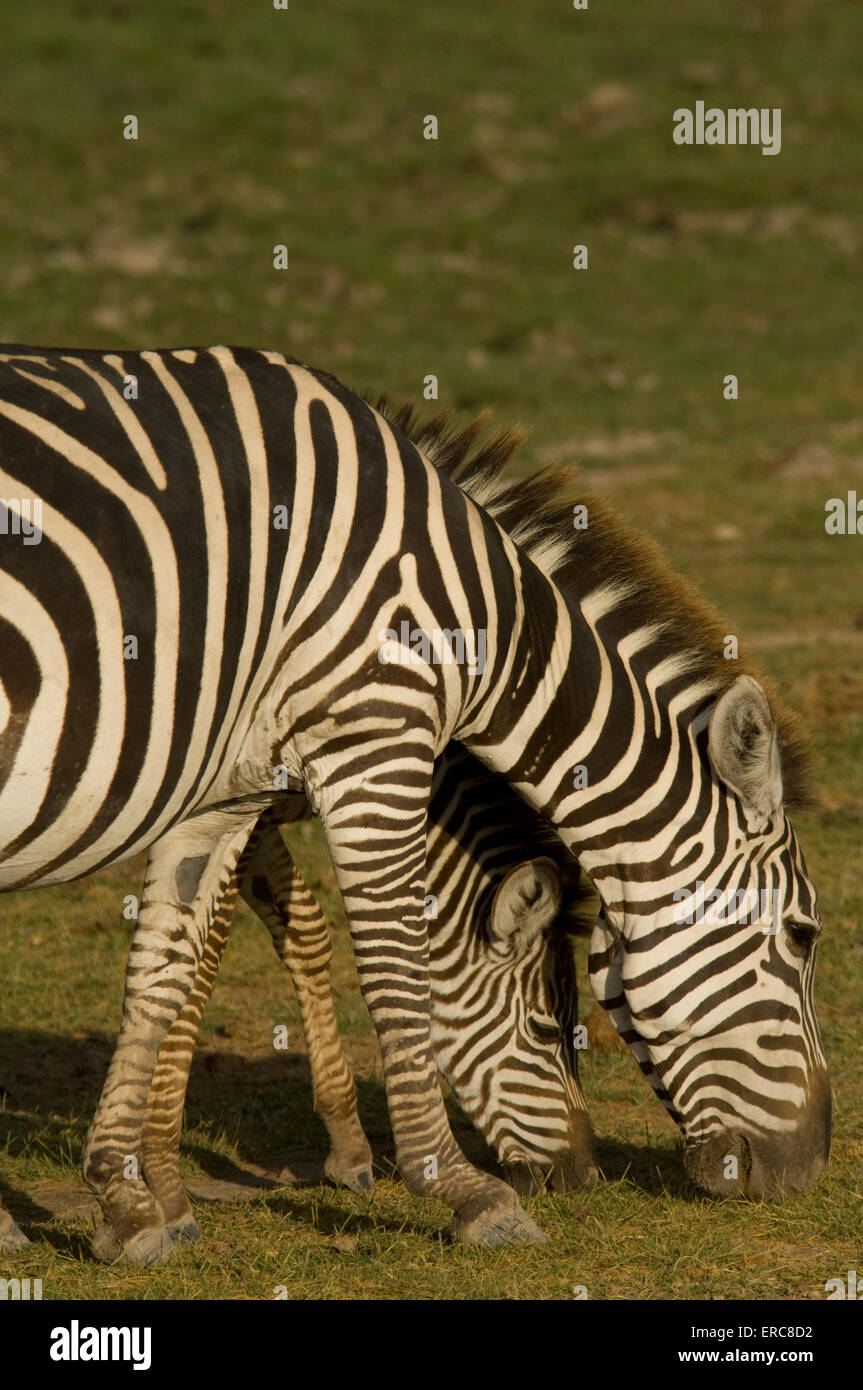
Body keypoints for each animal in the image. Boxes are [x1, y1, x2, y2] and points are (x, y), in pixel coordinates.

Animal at [0, 345, 828, 1261]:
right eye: (801, 935)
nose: (811, 1167)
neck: (482, 620)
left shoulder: (233, 790)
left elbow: (174, 963)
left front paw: (135, 1197)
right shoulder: (372, 736)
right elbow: (380, 960)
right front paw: (456, 1190)